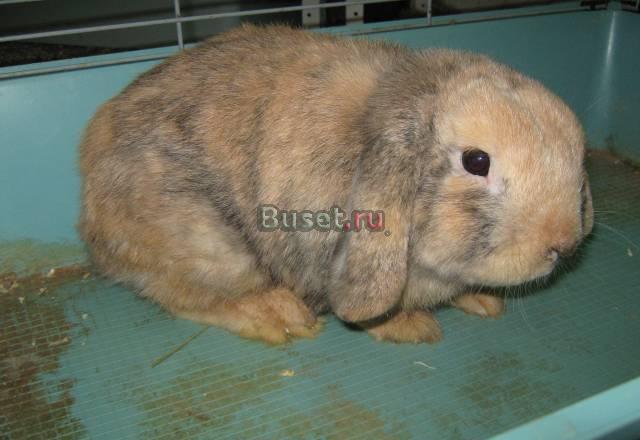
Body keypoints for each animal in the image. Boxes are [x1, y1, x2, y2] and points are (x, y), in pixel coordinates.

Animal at [79, 24, 593, 344]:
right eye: (476, 161)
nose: (563, 243)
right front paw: (412, 328)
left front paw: (483, 302)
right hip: (210, 246)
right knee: (187, 297)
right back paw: (277, 317)